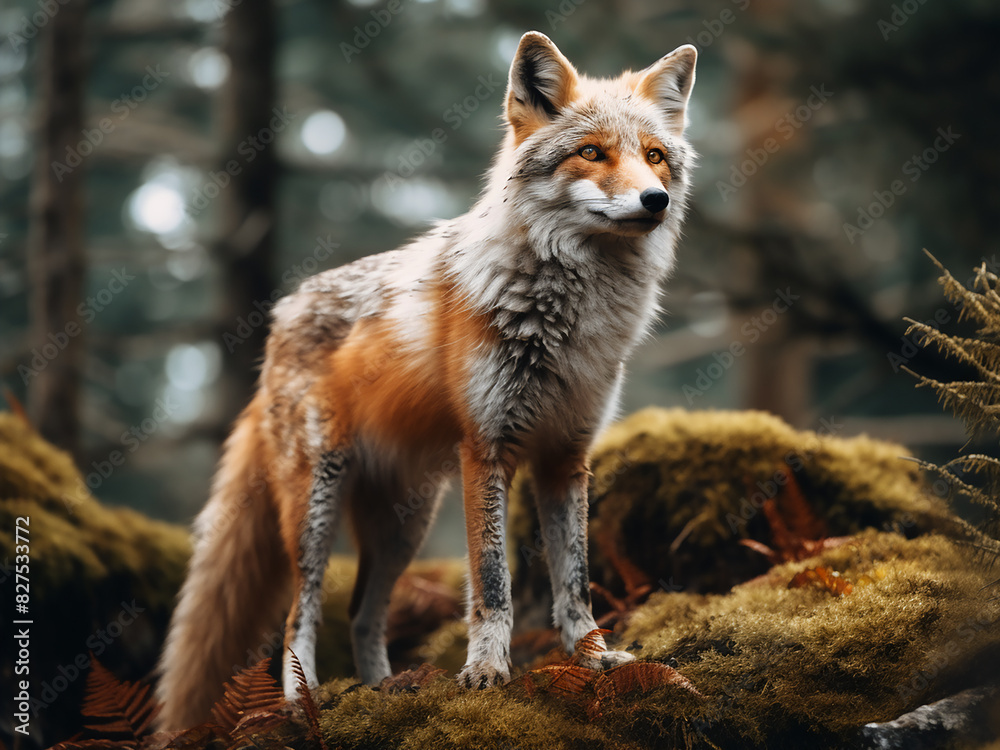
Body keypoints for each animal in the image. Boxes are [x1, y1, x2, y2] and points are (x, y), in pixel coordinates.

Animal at [157, 31, 697, 728]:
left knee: (362, 614)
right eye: (591, 153)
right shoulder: (488, 449)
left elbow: (575, 584)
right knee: (299, 617)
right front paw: (487, 672)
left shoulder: (566, 457)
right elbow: (492, 585)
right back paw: (303, 702)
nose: (655, 200)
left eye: (654, 157)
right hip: (317, 507)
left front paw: (596, 661)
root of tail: (278, 321)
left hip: (403, 527)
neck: (569, 320)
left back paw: (384, 690)